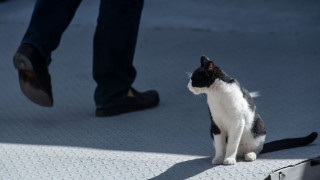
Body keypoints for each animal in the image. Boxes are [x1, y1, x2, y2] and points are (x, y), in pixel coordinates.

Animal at [188, 55, 318, 165]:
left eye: (194, 79)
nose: (187, 86)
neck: (216, 94)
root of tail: (241, 153)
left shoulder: (237, 123)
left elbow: (232, 143)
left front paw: (229, 159)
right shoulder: (215, 124)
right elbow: (220, 145)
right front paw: (219, 158)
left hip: (258, 126)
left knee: (257, 149)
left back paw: (250, 155)